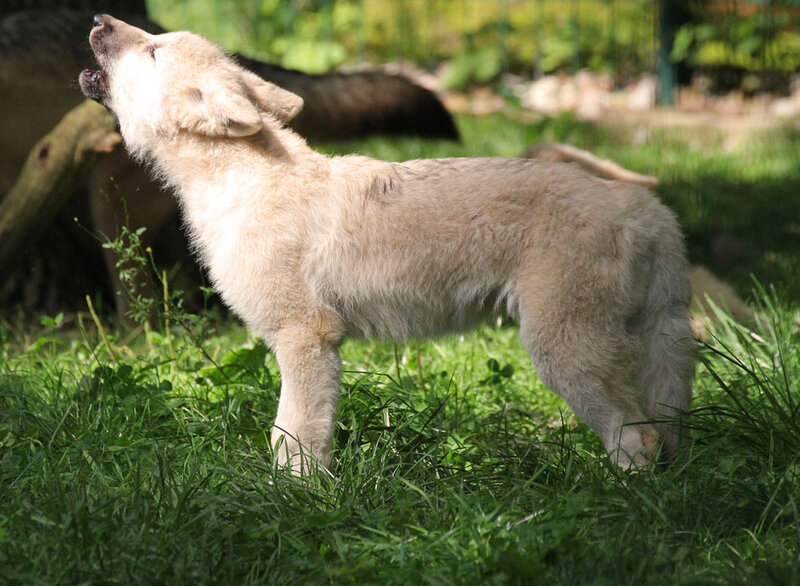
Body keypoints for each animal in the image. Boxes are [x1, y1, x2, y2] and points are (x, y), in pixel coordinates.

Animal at [81, 15, 695, 472]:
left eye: (152, 49)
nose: (98, 18)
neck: (245, 182)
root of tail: (648, 210)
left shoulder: (306, 340)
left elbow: (291, 439)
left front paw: (293, 501)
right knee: (664, 434)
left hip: (561, 353)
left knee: (637, 441)